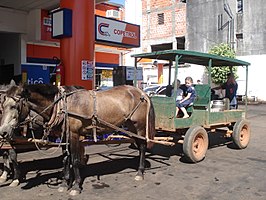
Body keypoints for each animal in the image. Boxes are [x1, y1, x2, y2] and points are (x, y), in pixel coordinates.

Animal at [0, 84, 156, 195]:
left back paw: (140, 173)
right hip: (130, 126)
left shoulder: (74, 134)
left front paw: (75, 186)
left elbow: (74, 160)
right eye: (3, 106)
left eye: (14, 106)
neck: (64, 105)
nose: (3, 132)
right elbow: (65, 159)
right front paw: (64, 184)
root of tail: (142, 92)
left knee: (143, 146)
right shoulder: (65, 136)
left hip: (140, 126)